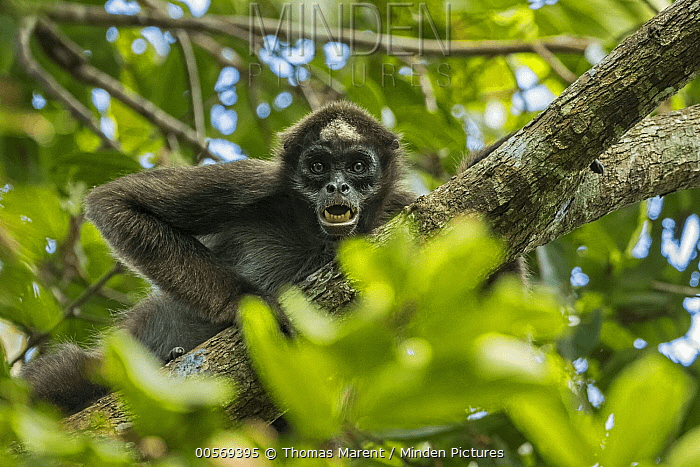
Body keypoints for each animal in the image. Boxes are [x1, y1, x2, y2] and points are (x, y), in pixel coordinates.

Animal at [21, 101, 416, 414]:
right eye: (318, 167)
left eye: (357, 167)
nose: (337, 186)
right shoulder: (255, 182)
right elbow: (115, 201)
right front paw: (248, 303)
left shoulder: (400, 205)